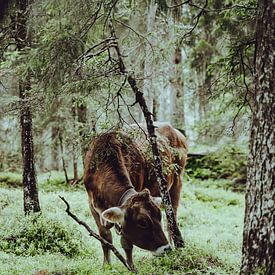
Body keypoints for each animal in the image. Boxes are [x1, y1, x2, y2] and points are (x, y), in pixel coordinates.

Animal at [84, 123, 188, 270]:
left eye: (159, 217)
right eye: (142, 222)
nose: (166, 249)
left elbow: (127, 243)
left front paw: (131, 267)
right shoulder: (92, 205)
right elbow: (105, 237)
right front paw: (106, 266)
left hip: (177, 183)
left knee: (171, 221)